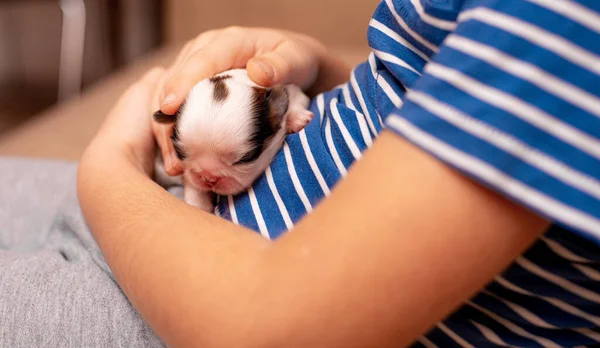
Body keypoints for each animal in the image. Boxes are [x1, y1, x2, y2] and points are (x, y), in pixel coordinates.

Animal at [152, 67, 314, 209]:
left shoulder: (293, 90)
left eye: (245, 159)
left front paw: (297, 117)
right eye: (180, 153)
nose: (209, 178)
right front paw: (197, 202)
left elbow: (295, 98)